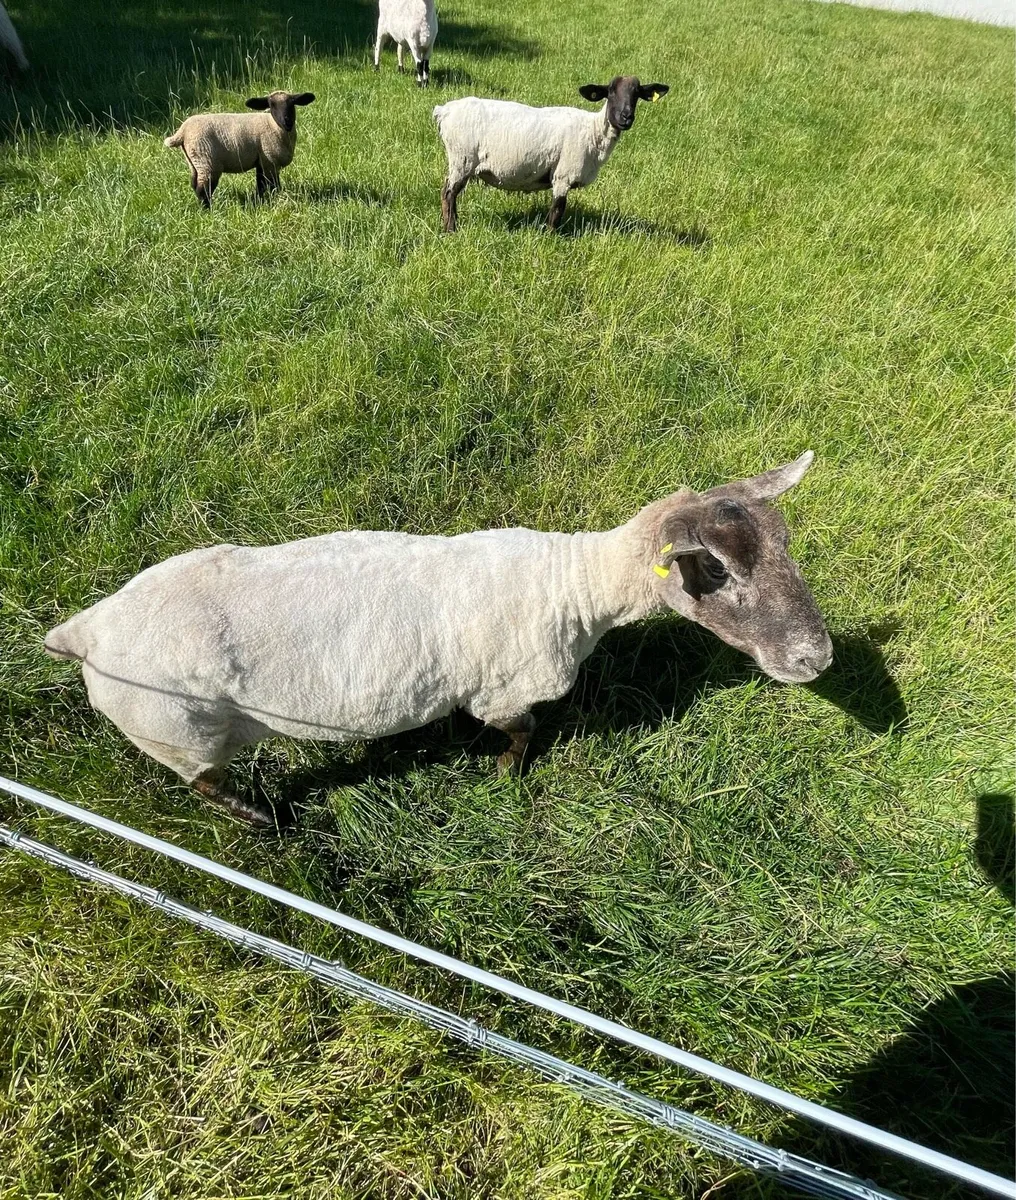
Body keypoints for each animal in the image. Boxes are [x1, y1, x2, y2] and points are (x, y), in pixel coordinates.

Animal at [44, 453, 832, 827]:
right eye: (718, 571)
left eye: (788, 545)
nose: (816, 658)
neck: (574, 584)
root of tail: (85, 630)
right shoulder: (505, 693)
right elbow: (520, 735)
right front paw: (506, 778)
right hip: (178, 732)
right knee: (204, 784)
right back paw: (261, 820)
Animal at [163, 90, 315, 208]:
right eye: (271, 105)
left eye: (292, 103)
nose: (287, 121)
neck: (273, 125)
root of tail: (182, 131)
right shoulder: (271, 161)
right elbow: (273, 185)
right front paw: (276, 200)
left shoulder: (261, 161)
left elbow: (260, 184)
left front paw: (261, 201)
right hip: (207, 161)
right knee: (203, 190)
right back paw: (208, 211)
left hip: (194, 162)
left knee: (195, 185)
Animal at [433, 75, 669, 232]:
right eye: (610, 92)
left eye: (637, 94)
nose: (626, 117)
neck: (593, 132)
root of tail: (444, 111)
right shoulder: (563, 175)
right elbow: (557, 211)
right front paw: (549, 237)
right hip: (461, 158)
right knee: (448, 193)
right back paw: (451, 230)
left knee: (452, 193)